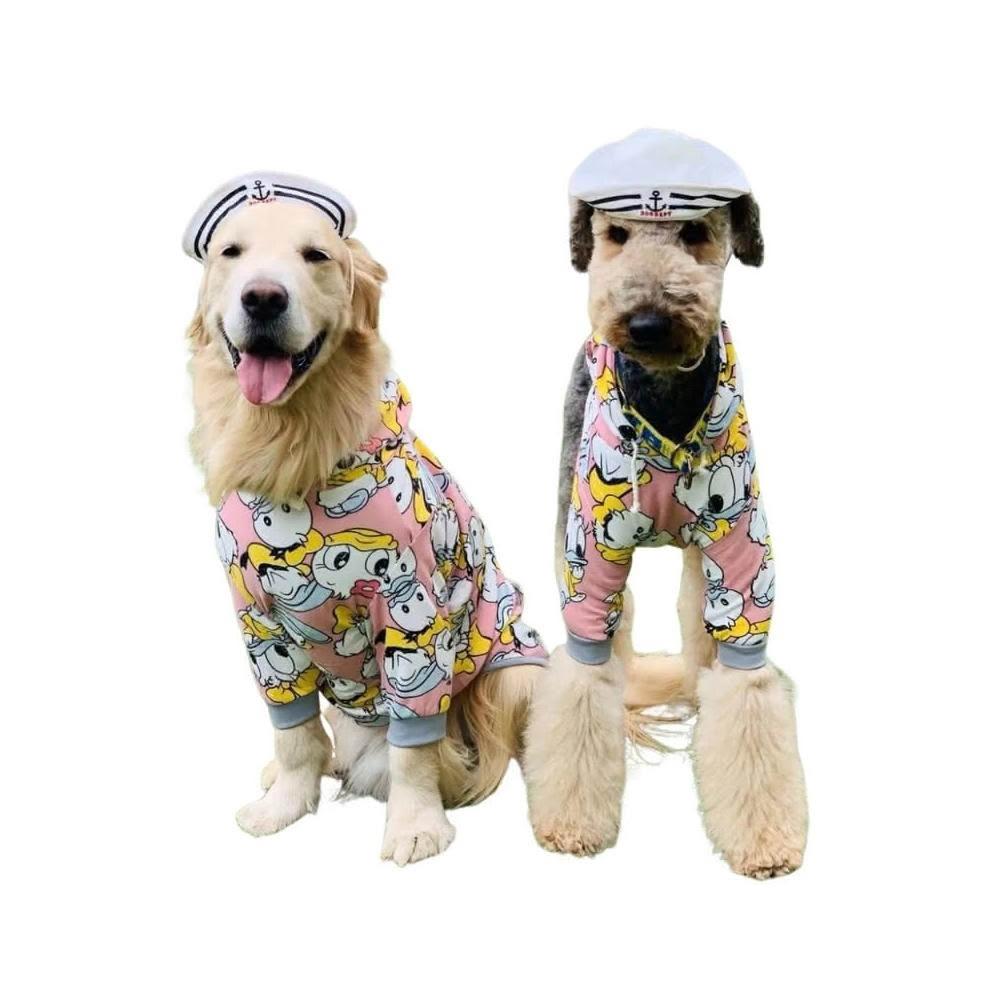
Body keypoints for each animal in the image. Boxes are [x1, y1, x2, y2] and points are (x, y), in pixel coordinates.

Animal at [183, 175, 546, 865]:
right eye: (231, 252)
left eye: (315, 256)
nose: (262, 297)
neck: (293, 455)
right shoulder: (257, 620)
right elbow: (295, 733)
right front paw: (285, 804)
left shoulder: (410, 609)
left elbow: (413, 749)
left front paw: (415, 824)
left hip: (511, 670)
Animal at [522, 132, 808, 878]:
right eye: (617, 234)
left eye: (696, 232)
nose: (648, 323)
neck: (665, 406)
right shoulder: (589, 562)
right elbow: (584, 680)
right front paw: (571, 823)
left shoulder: (743, 564)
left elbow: (744, 690)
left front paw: (765, 840)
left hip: (697, 570)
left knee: (694, 636)